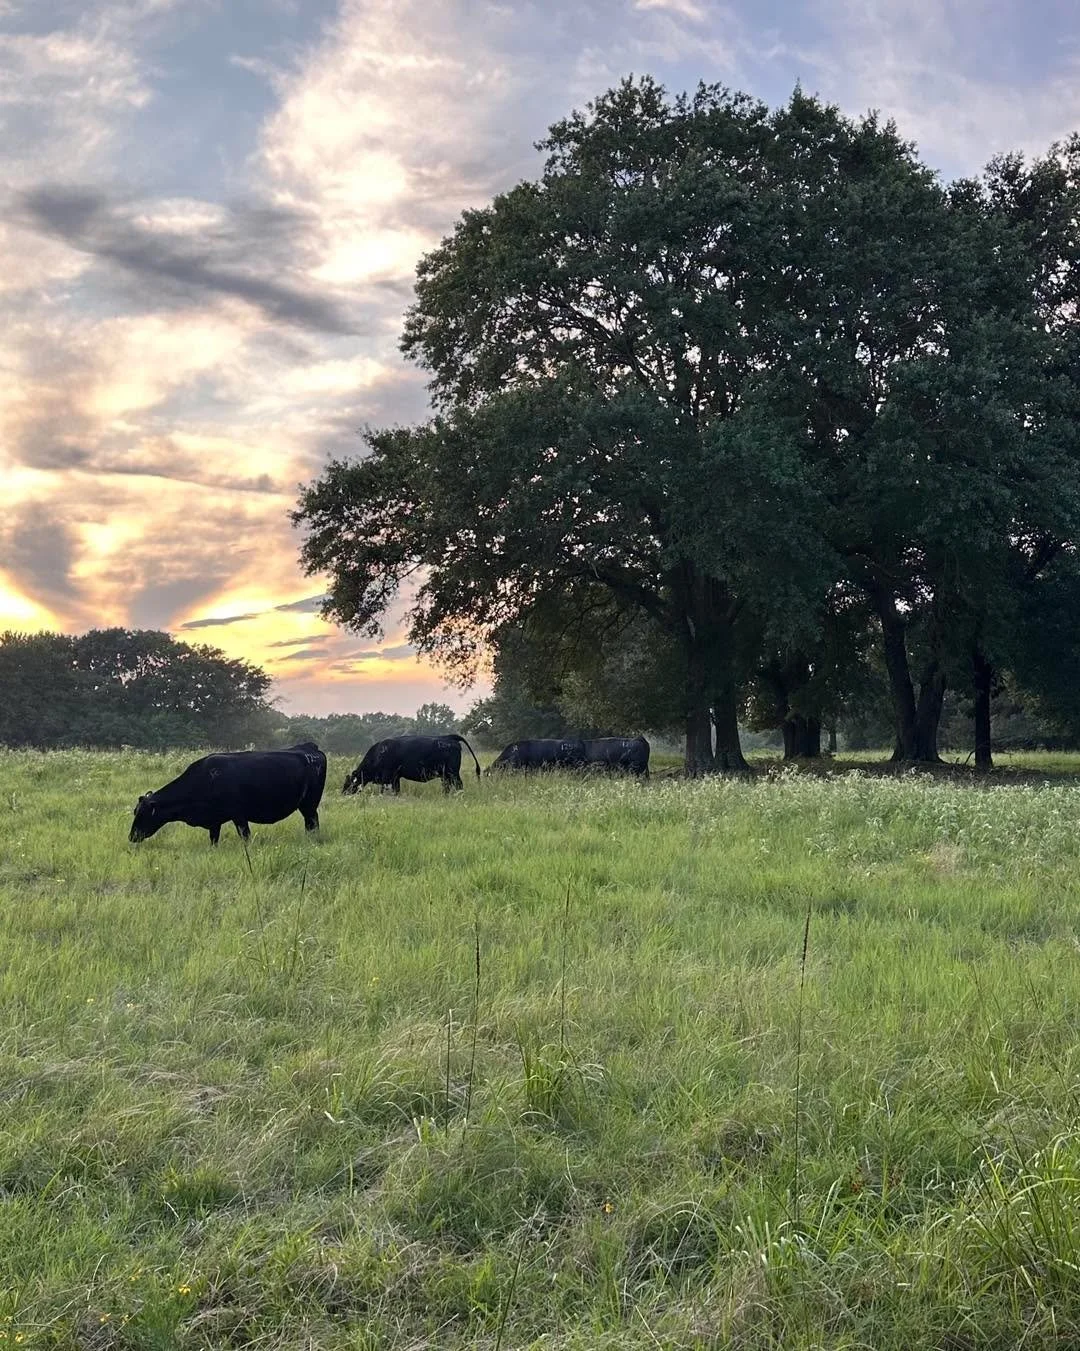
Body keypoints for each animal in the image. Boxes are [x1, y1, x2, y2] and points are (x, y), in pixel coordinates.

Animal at [129, 743, 327, 846]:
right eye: (135, 811)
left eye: (143, 814)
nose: (131, 836)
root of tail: (309, 748)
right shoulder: (214, 820)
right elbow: (213, 840)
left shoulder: (238, 815)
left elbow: (245, 836)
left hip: (309, 805)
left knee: (313, 823)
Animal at [341, 734, 482, 795]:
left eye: (347, 783)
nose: (343, 794)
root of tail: (449, 738)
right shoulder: (395, 778)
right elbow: (397, 790)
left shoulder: (387, 777)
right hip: (445, 775)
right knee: (447, 786)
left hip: (453, 773)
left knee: (458, 785)